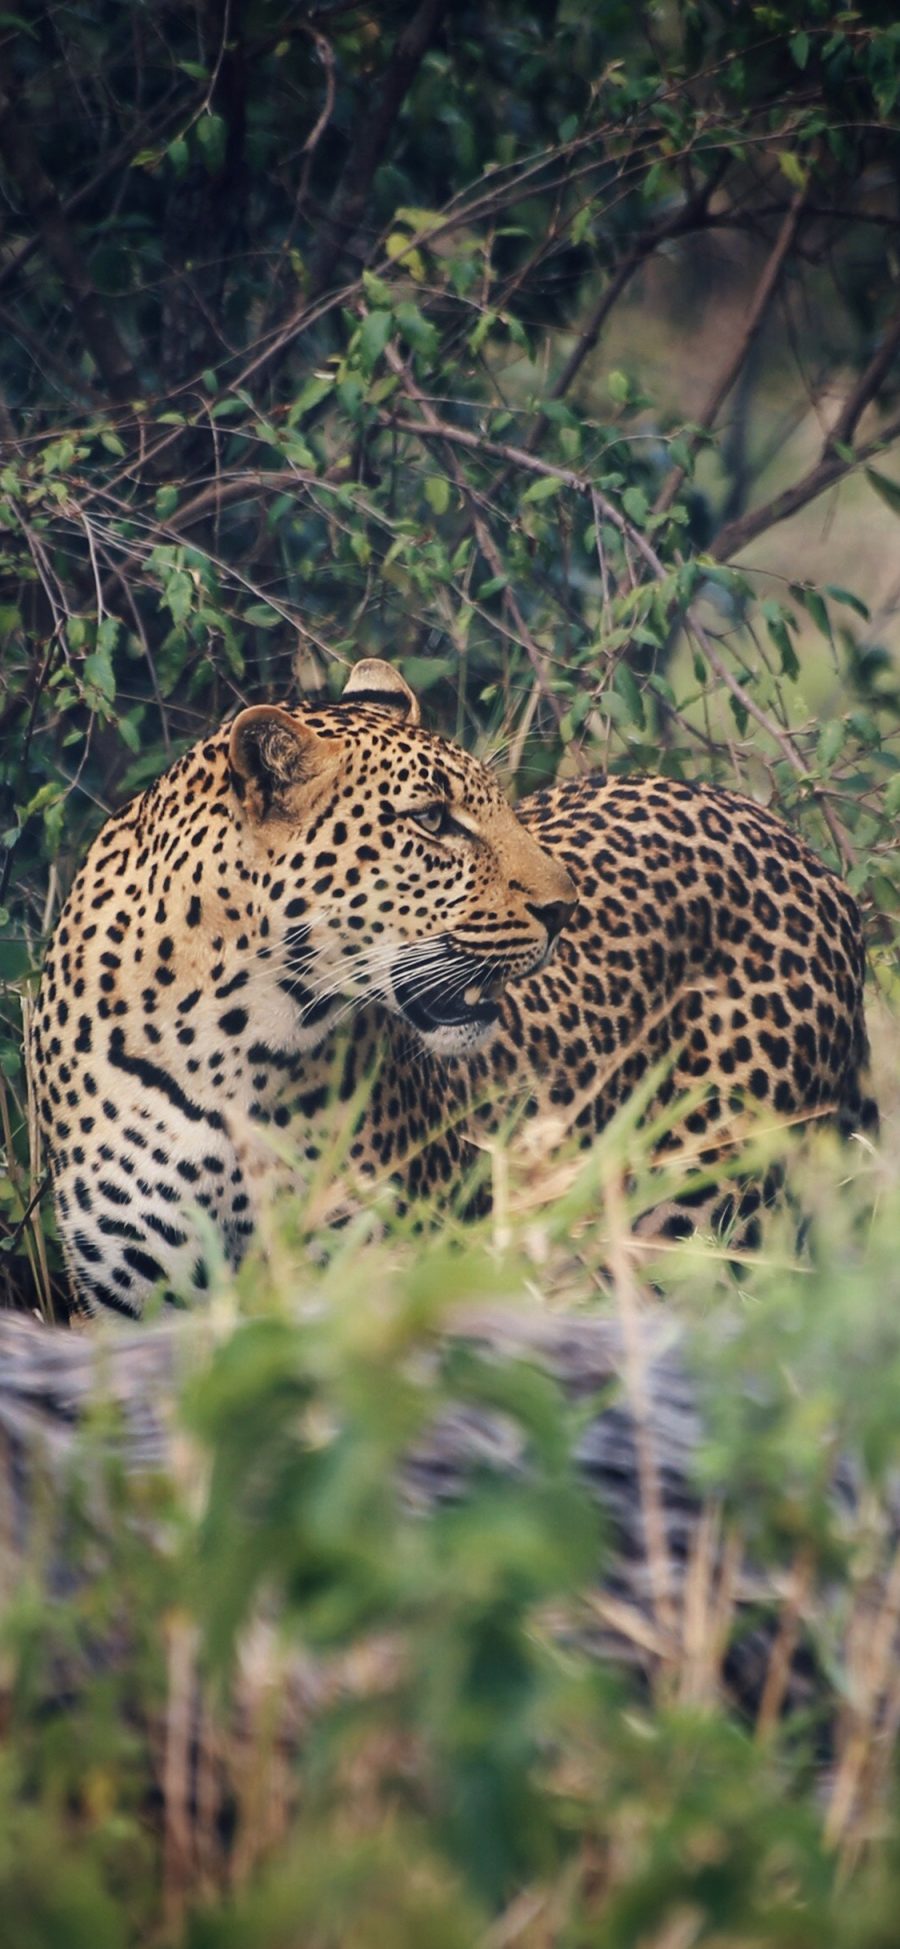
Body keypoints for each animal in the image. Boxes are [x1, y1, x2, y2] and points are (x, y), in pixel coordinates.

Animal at [31, 650, 876, 1309]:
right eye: (433, 820)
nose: (565, 909)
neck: (229, 1046)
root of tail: (802, 850)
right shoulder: (142, 1304)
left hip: (718, 1218)